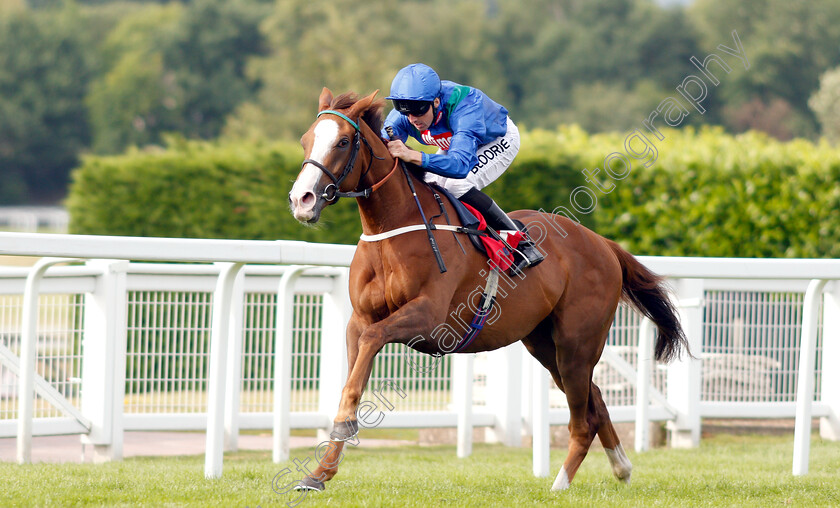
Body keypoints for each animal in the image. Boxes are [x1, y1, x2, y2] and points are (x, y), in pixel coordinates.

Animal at [288, 88, 688, 492]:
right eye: (305, 140)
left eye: (342, 142)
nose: (302, 199)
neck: (395, 227)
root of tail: (602, 244)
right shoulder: (359, 319)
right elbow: (352, 377)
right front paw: (320, 473)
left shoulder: (428, 316)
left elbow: (370, 348)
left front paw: (340, 433)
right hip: (544, 344)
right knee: (597, 400)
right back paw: (622, 467)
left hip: (577, 344)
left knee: (583, 419)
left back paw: (559, 484)